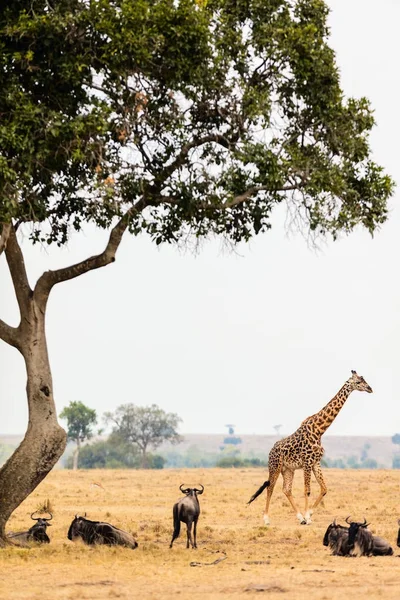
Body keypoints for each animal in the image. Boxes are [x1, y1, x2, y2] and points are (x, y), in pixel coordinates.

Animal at [248, 370, 374, 524]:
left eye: (364, 379)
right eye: (358, 382)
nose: (370, 389)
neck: (319, 430)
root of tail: (270, 451)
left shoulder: (316, 462)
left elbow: (324, 488)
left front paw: (308, 515)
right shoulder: (307, 462)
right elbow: (307, 490)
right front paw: (308, 517)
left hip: (288, 469)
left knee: (286, 489)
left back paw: (299, 517)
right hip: (275, 467)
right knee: (270, 487)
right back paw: (266, 519)